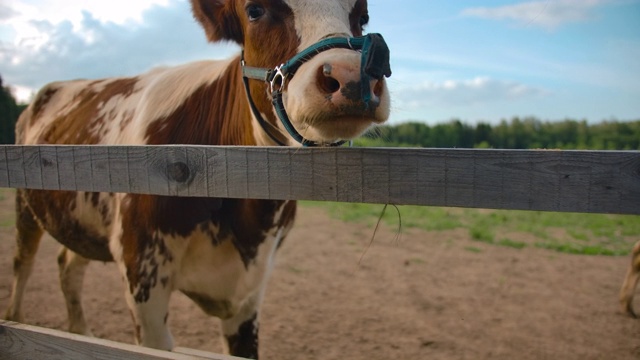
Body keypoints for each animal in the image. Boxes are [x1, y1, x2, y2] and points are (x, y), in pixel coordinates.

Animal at [3, 1, 390, 358]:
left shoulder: (251, 288)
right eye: (255, 10)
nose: (351, 74)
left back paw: (81, 333)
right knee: (23, 264)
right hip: (25, 202)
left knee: (68, 266)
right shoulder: (141, 271)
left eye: (363, 15)